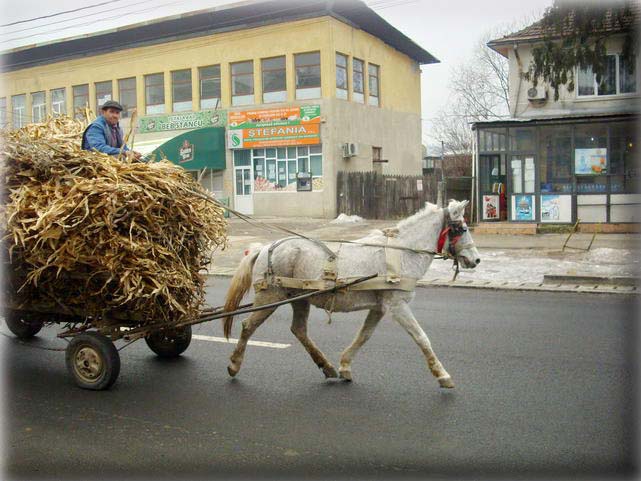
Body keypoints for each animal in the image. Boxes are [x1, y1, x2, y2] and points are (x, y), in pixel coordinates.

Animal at [222, 198, 478, 386]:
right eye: (463, 228)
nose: (476, 259)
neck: (399, 253)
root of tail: (266, 247)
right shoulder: (397, 305)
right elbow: (421, 337)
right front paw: (443, 375)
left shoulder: (379, 307)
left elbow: (364, 335)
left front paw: (345, 365)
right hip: (271, 296)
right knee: (248, 326)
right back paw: (234, 364)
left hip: (299, 298)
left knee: (299, 330)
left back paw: (327, 367)